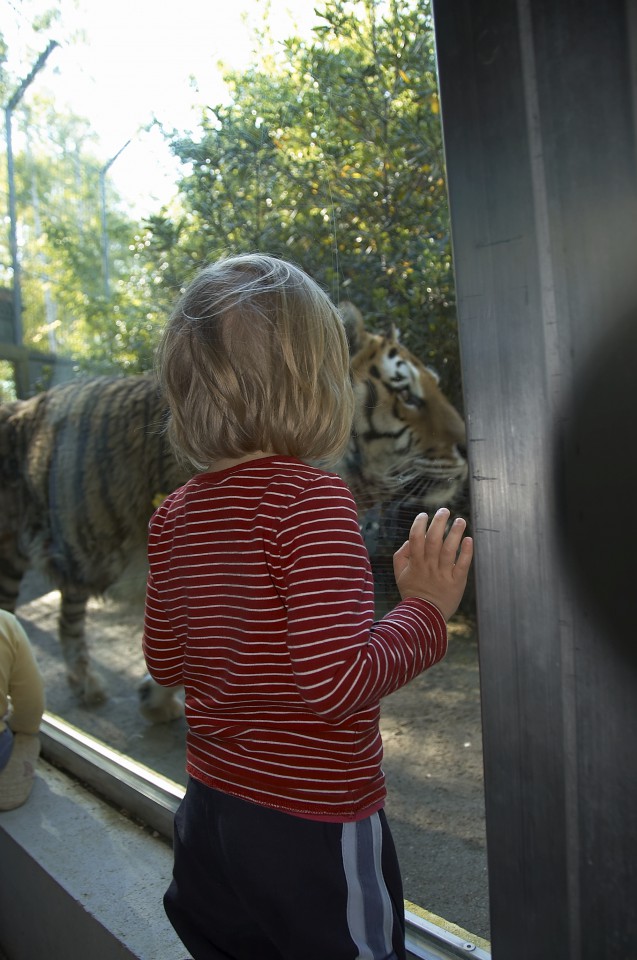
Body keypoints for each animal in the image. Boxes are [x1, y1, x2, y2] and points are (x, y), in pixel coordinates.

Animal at [1, 306, 468, 720]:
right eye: (406, 394)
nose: (466, 443)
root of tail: (22, 405)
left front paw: (157, 699)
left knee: (67, 616)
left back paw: (85, 685)